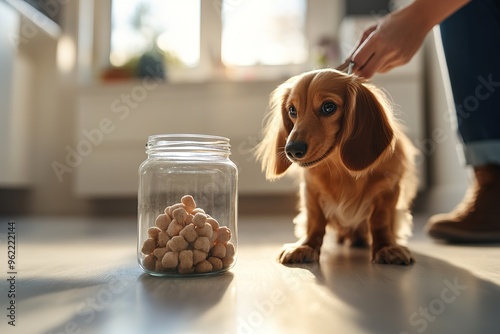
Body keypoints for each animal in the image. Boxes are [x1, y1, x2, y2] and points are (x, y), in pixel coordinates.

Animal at [258, 69, 418, 264]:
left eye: (329, 107)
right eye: (292, 110)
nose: (292, 150)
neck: (342, 171)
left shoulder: (388, 191)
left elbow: (380, 221)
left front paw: (386, 247)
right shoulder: (311, 191)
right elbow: (315, 220)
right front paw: (306, 246)